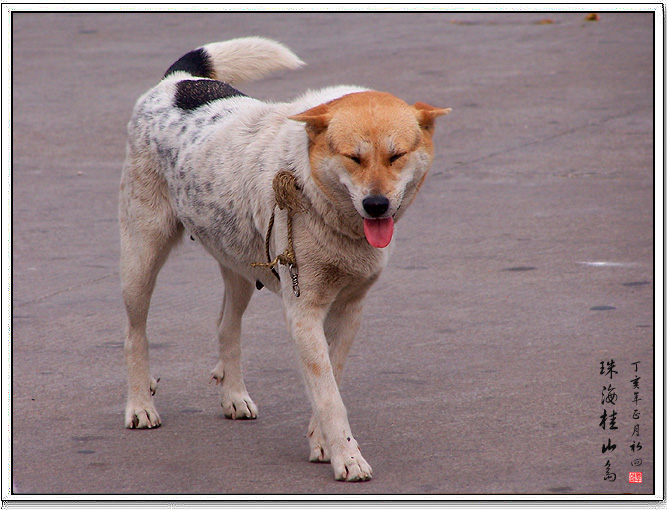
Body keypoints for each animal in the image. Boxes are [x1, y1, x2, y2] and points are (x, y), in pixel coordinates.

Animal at [120, 36, 452, 482]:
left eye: (396, 156)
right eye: (353, 158)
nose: (376, 205)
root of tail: (179, 81)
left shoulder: (349, 309)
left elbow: (331, 380)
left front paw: (322, 444)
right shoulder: (304, 312)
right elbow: (329, 395)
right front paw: (347, 458)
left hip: (240, 265)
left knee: (226, 326)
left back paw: (234, 396)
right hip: (141, 258)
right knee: (135, 334)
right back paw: (141, 405)